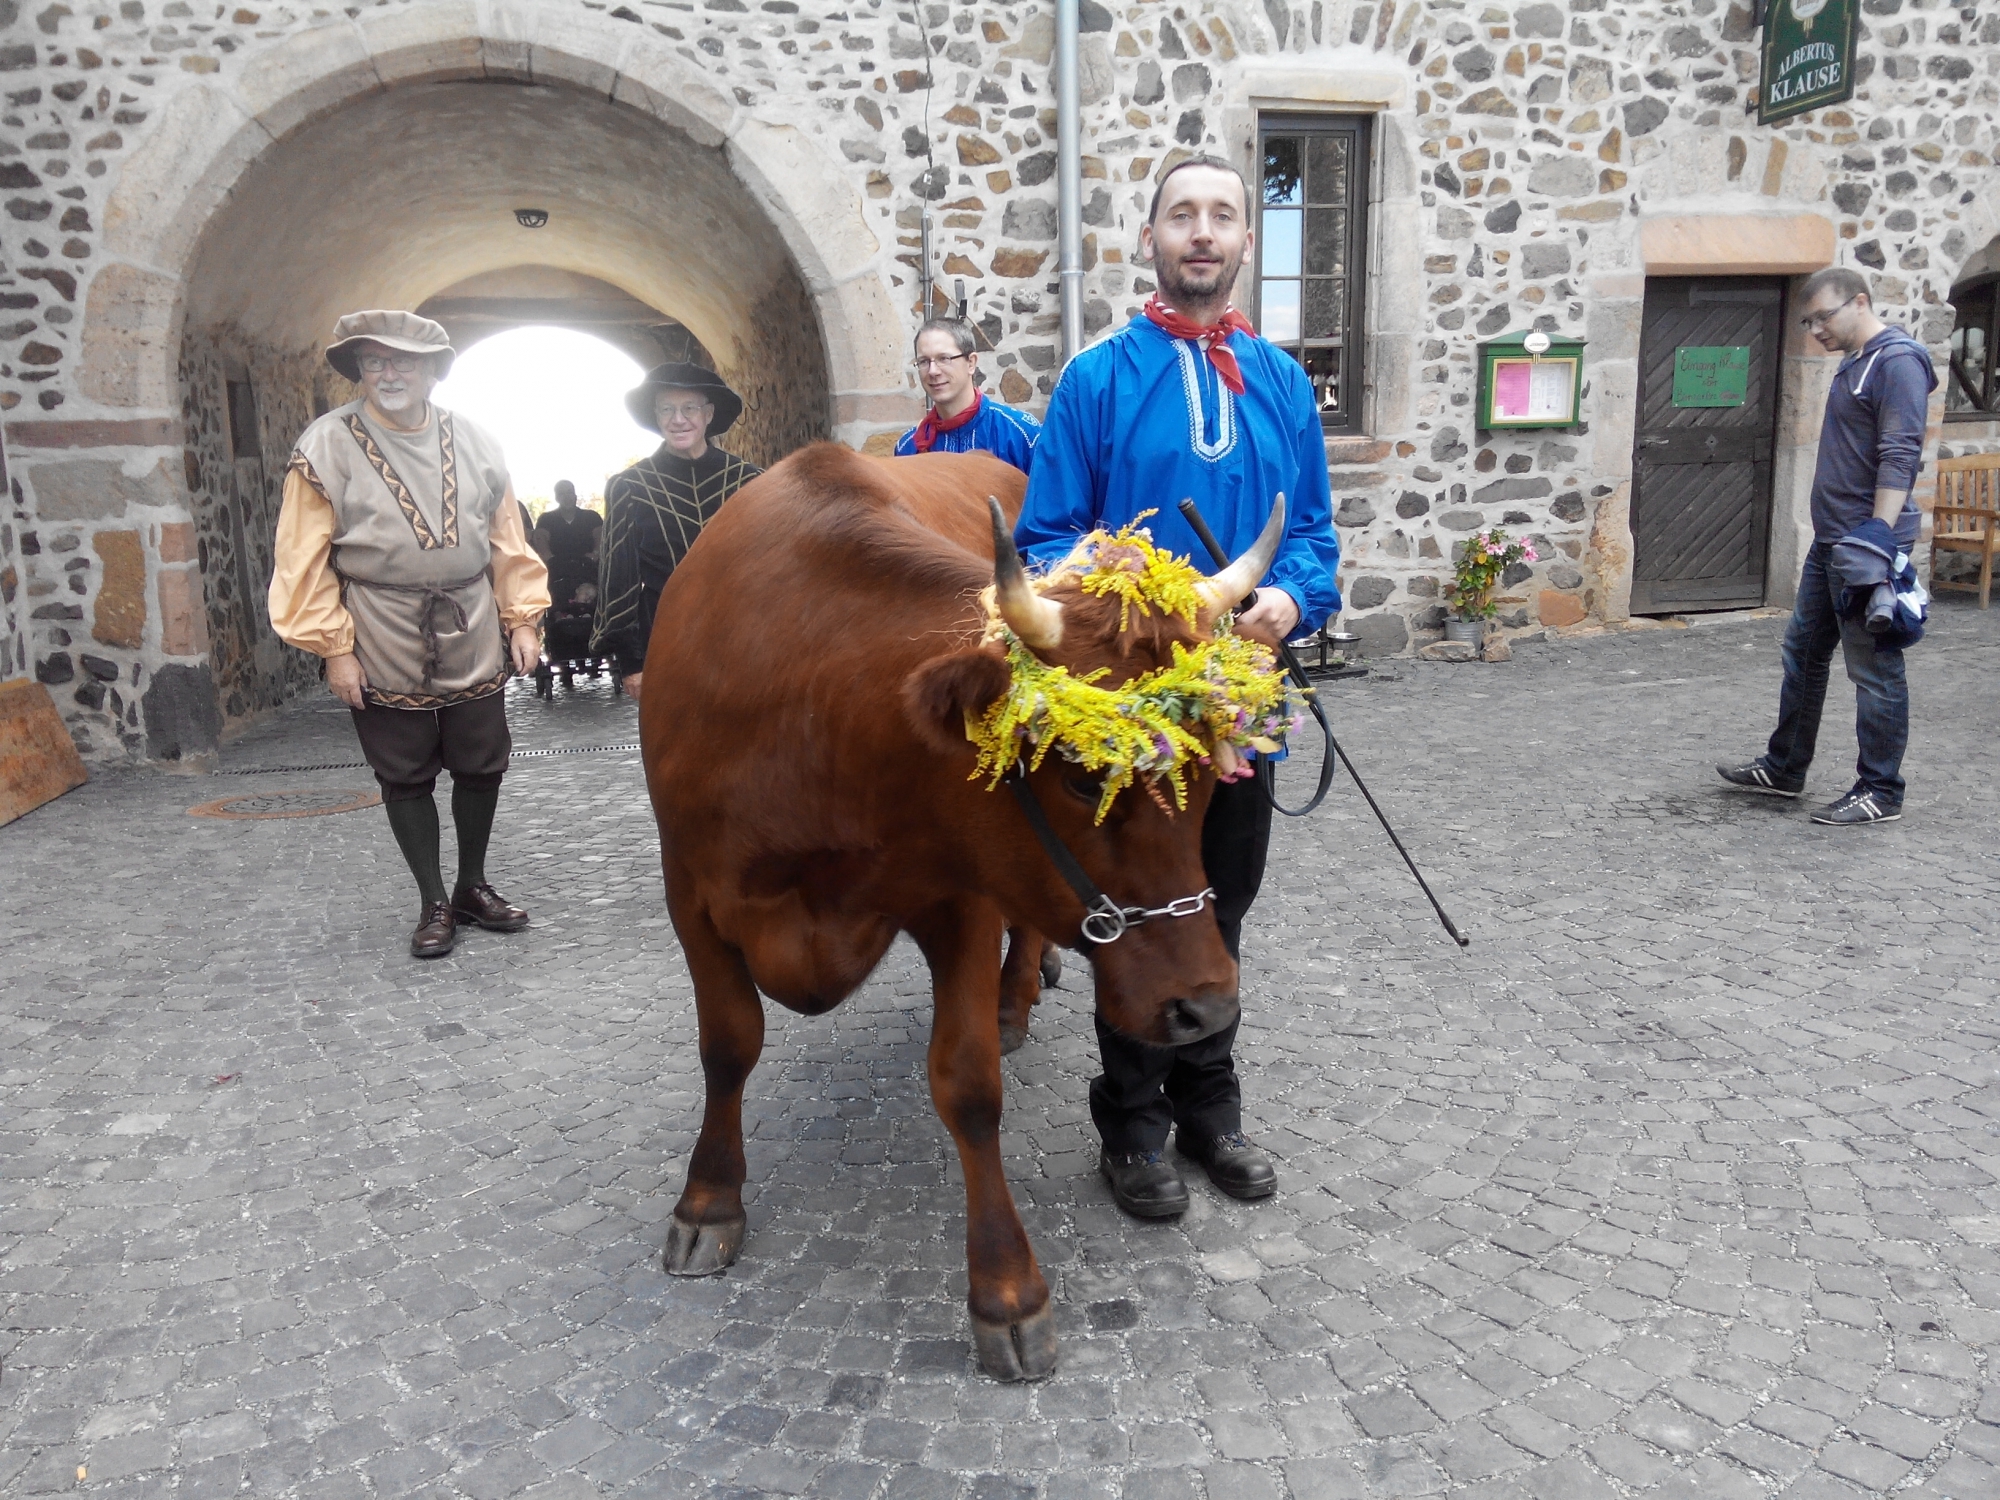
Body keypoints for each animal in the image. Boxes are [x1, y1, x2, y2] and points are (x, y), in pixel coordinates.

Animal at [640, 440, 1280, 1384]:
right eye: (1082, 775)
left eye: (1206, 776)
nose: (1209, 1006)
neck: (805, 710)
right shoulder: (689, 890)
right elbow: (728, 1046)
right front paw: (709, 1200)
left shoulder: (962, 896)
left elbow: (969, 1086)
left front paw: (1008, 1294)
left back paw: (1019, 998)